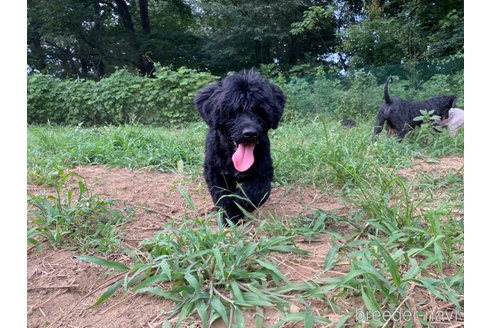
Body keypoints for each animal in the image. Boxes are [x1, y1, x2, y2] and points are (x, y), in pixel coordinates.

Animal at [193, 71, 284, 226]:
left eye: (260, 111)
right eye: (233, 111)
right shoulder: (214, 172)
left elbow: (254, 194)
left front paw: (238, 207)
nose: (250, 133)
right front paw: (229, 215)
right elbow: (222, 195)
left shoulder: (263, 173)